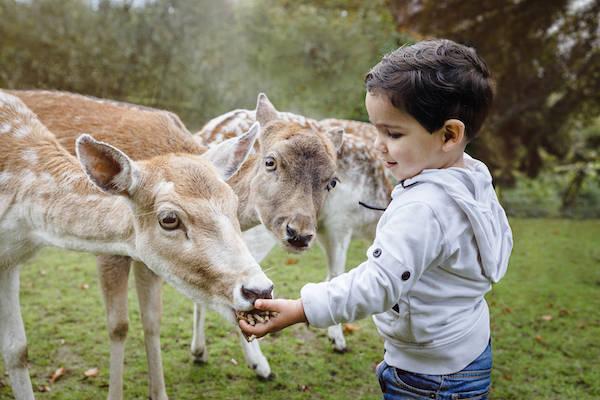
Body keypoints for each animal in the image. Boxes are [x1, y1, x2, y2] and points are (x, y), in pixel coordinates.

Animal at [10, 89, 342, 398]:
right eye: (270, 161)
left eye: (332, 181)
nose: (299, 233)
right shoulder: (110, 249)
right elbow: (118, 326)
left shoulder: (152, 259)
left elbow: (152, 321)